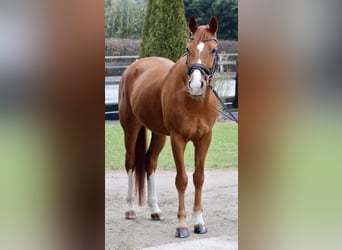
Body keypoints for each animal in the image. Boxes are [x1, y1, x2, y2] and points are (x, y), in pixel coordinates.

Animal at [119, 16, 218, 238]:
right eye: (188, 49)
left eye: (213, 50)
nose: (196, 85)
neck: (194, 101)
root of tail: (134, 67)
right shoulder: (177, 138)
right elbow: (181, 180)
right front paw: (181, 225)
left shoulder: (205, 139)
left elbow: (198, 178)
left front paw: (199, 222)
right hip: (131, 128)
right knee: (131, 162)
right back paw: (130, 209)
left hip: (159, 134)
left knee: (150, 162)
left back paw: (155, 210)